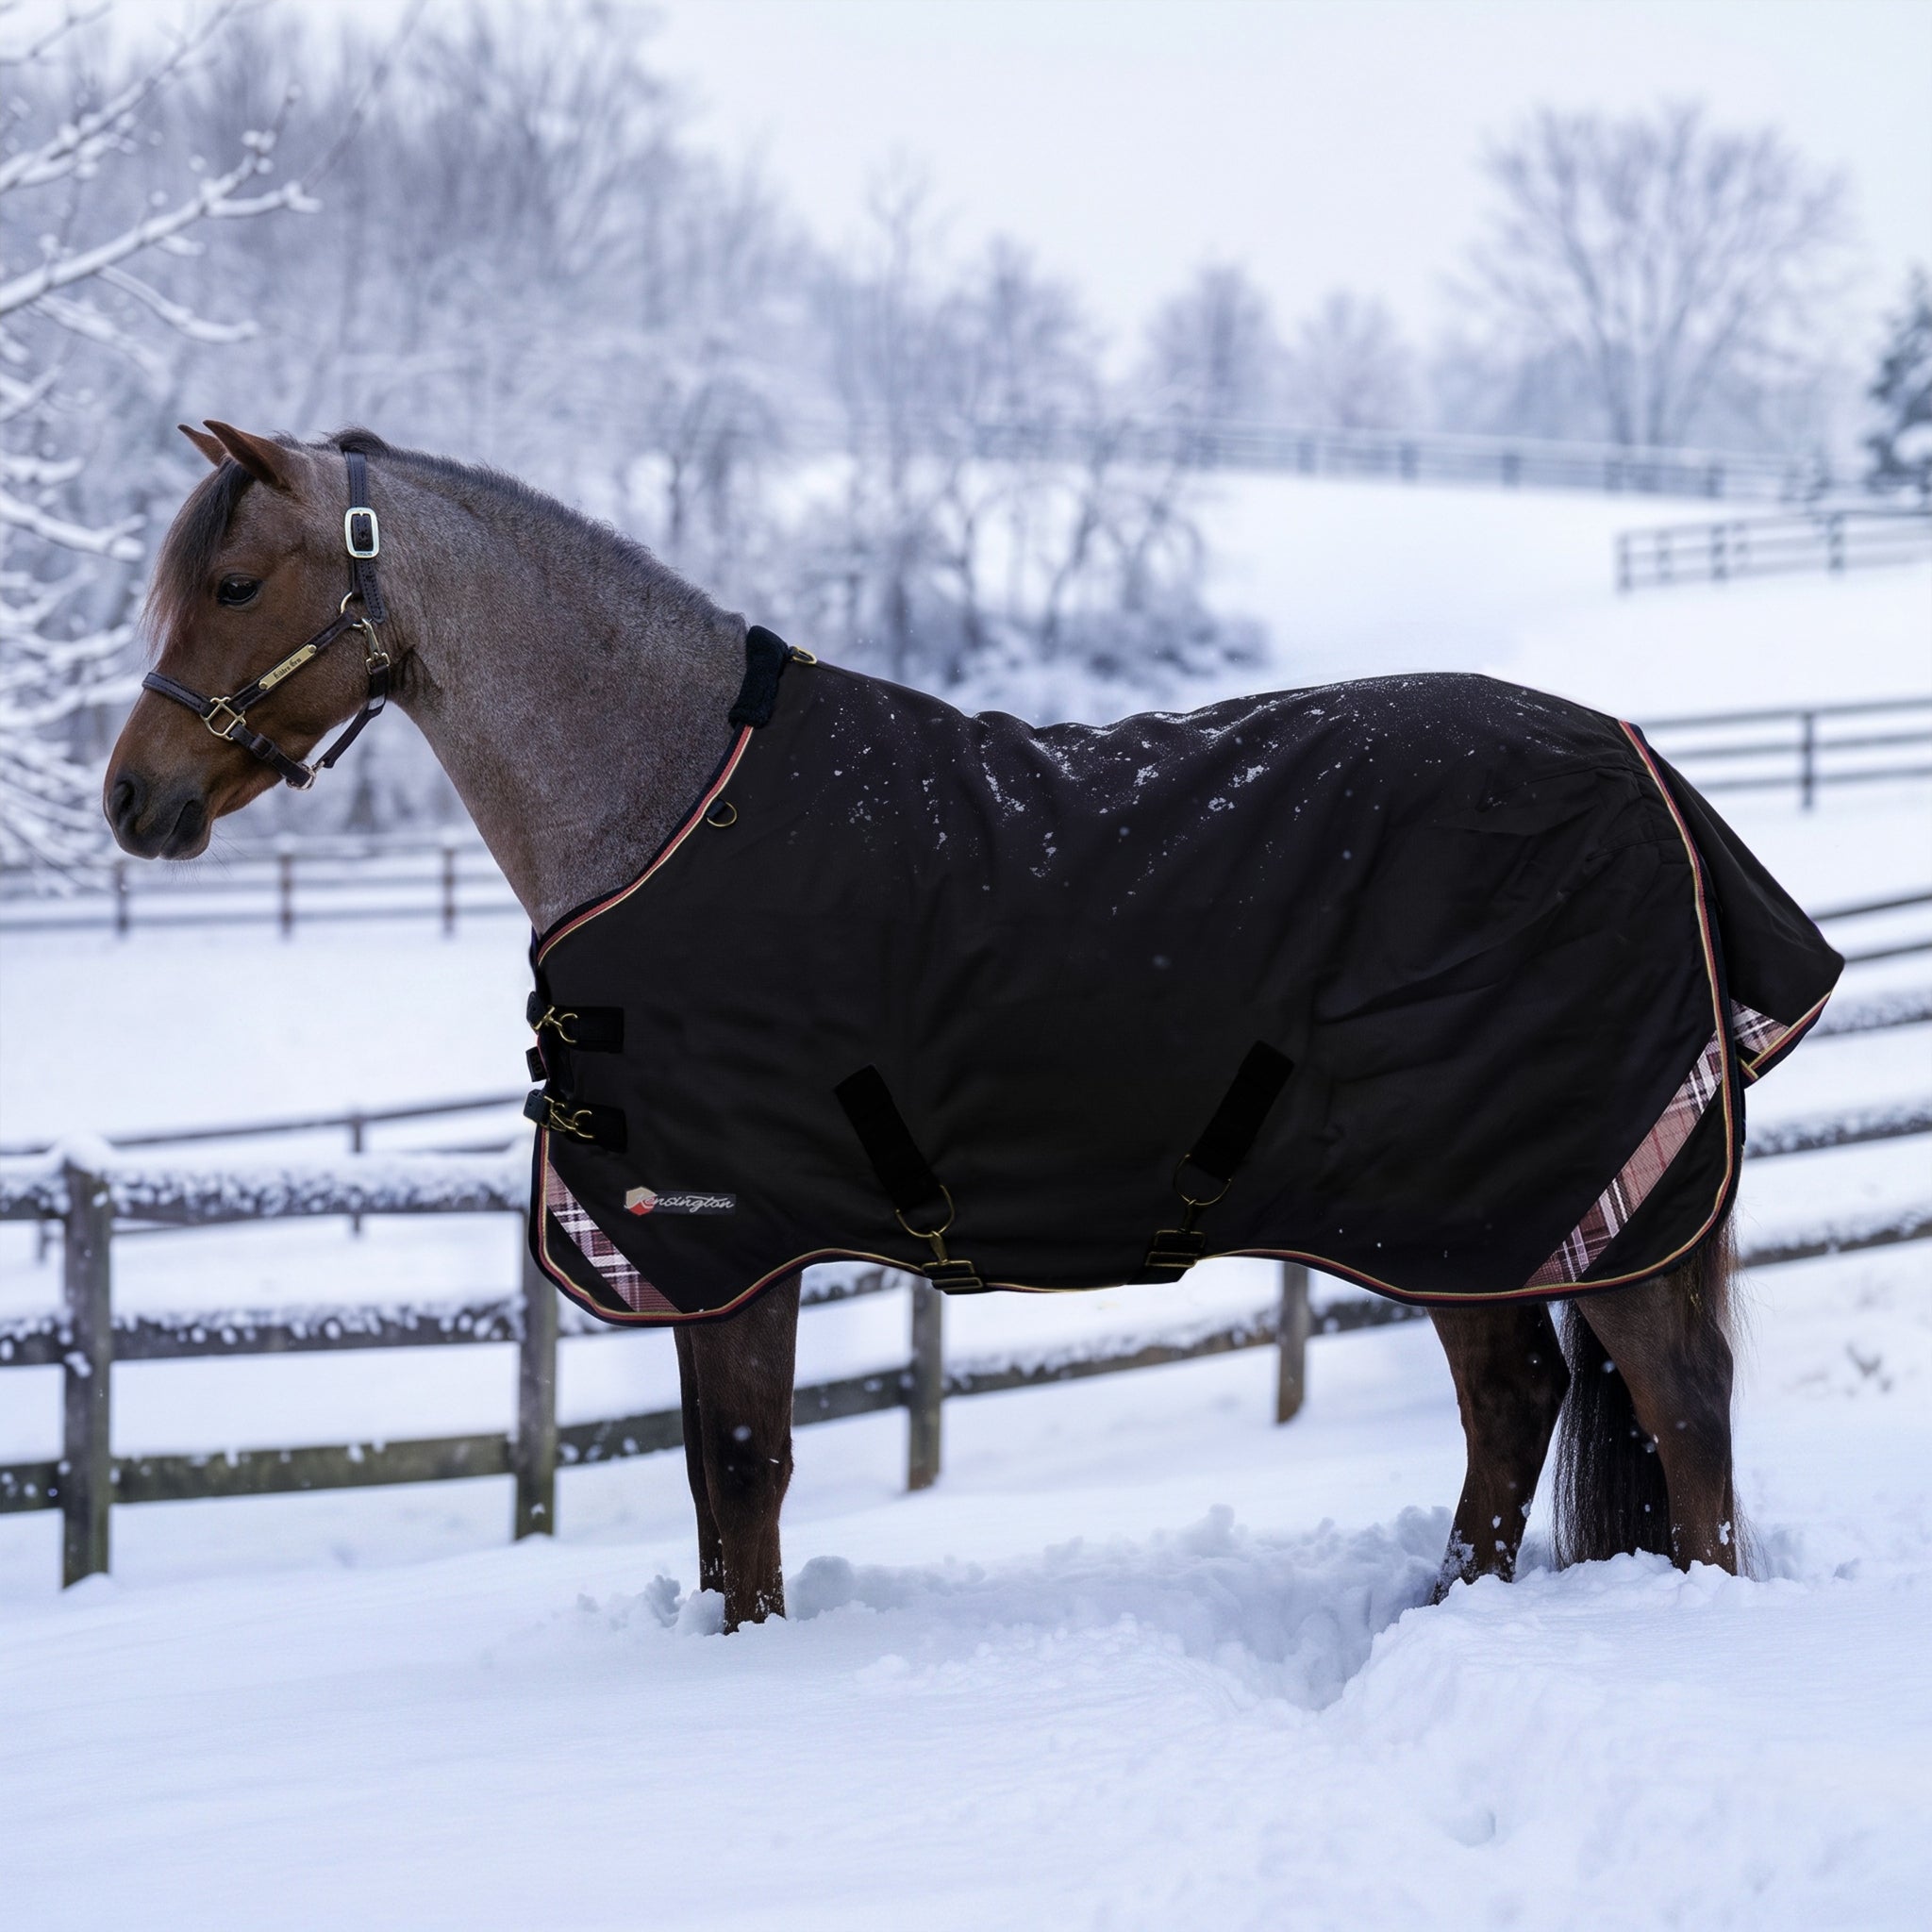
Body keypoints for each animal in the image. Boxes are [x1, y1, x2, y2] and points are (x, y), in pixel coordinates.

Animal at [105, 421, 1769, 1631]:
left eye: (236, 584)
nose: (132, 800)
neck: (666, 802)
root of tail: (1646, 773)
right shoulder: (716, 1254)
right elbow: (718, 1492)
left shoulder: (729, 1233)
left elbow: (743, 1471)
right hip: (1462, 1215)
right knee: (1519, 1401)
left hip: (1575, 1201)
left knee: (1679, 1413)